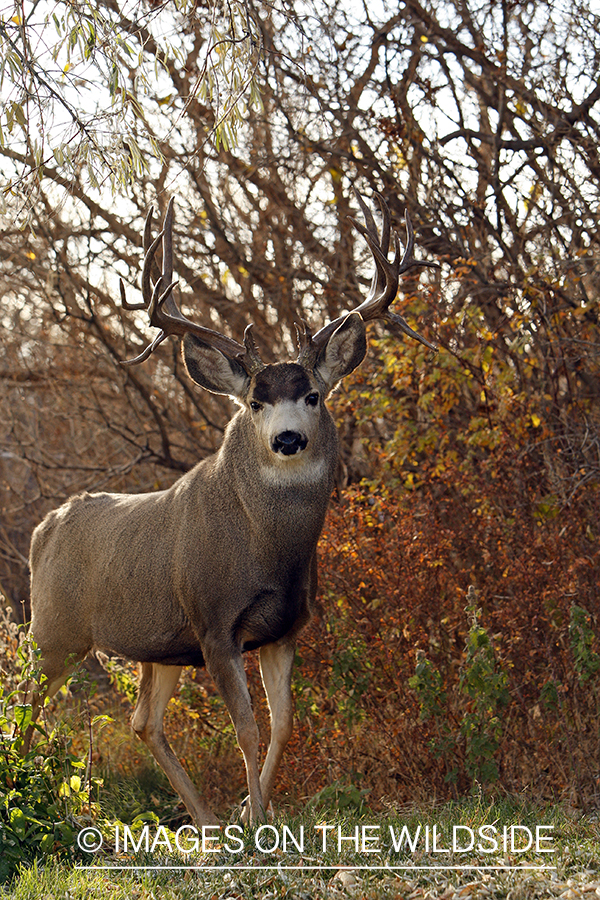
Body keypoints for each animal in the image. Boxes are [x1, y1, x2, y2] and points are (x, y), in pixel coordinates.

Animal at [24, 191, 437, 826]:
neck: (268, 551)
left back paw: (208, 822)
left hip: (158, 646)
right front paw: (259, 821)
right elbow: (246, 728)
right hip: (55, 629)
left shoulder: (285, 627)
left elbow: (284, 725)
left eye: (312, 395)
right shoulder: (215, 621)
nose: (288, 438)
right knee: (26, 704)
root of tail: (42, 530)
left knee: (143, 722)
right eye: (255, 402)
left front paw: (249, 811)